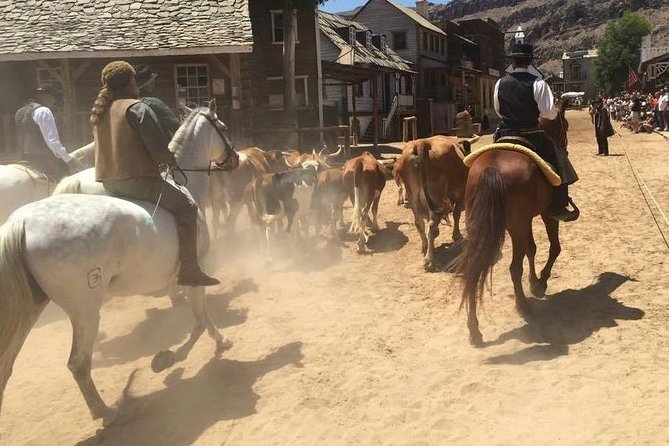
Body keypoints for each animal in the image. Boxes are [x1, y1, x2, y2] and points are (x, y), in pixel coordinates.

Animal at [0, 100, 239, 426]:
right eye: (223, 127)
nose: (236, 159)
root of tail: (21, 220)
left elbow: (204, 318)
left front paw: (220, 340)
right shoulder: (195, 272)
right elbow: (200, 320)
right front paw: (168, 359)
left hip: (28, 311)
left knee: (7, 367)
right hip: (85, 311)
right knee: (78, 363)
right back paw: (107, 412)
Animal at [456, 103, 572, 346]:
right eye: (564, 125)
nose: (565, 148)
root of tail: (492, 169)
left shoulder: (526, 219)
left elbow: (532, 249)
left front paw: (534, 281)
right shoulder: (546, 214)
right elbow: (554, 248)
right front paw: (540, 283)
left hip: (483, 224)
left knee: (473, 268)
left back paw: (474, 329)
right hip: (518, 225)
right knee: (513, 267)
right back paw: (523, 306)